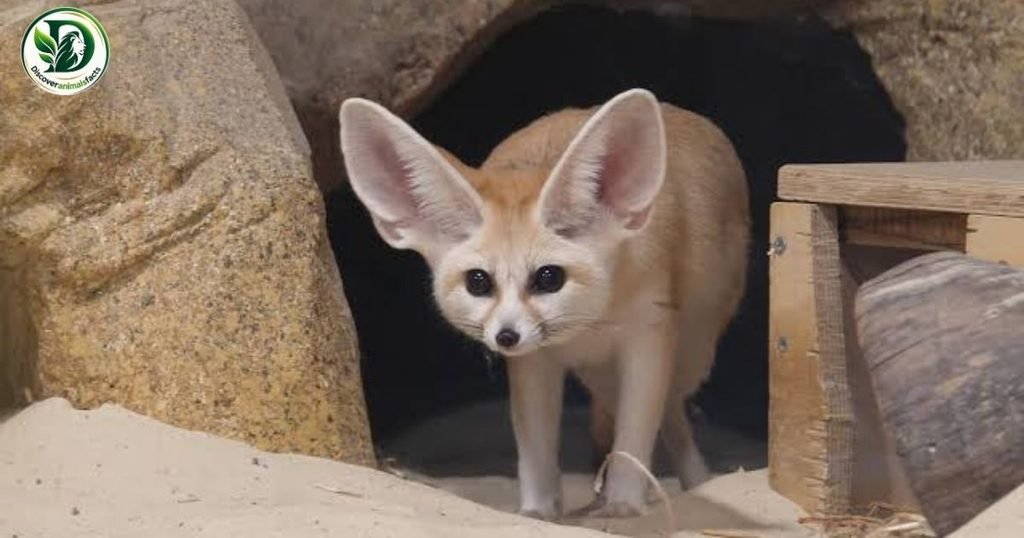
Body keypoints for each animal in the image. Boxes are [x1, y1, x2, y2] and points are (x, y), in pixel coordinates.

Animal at [339, 89, 749, 519]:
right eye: (478, 282)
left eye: (549, 278)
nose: (506, 336)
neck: (588, 327)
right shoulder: (533, 361)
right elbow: (535, 449)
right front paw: (538, 511)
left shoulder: (648, 339)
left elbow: (634, 437)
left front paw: (623, 505)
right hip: (602, 375)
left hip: (692, 353)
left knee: (672, 413)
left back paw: (694, 481)